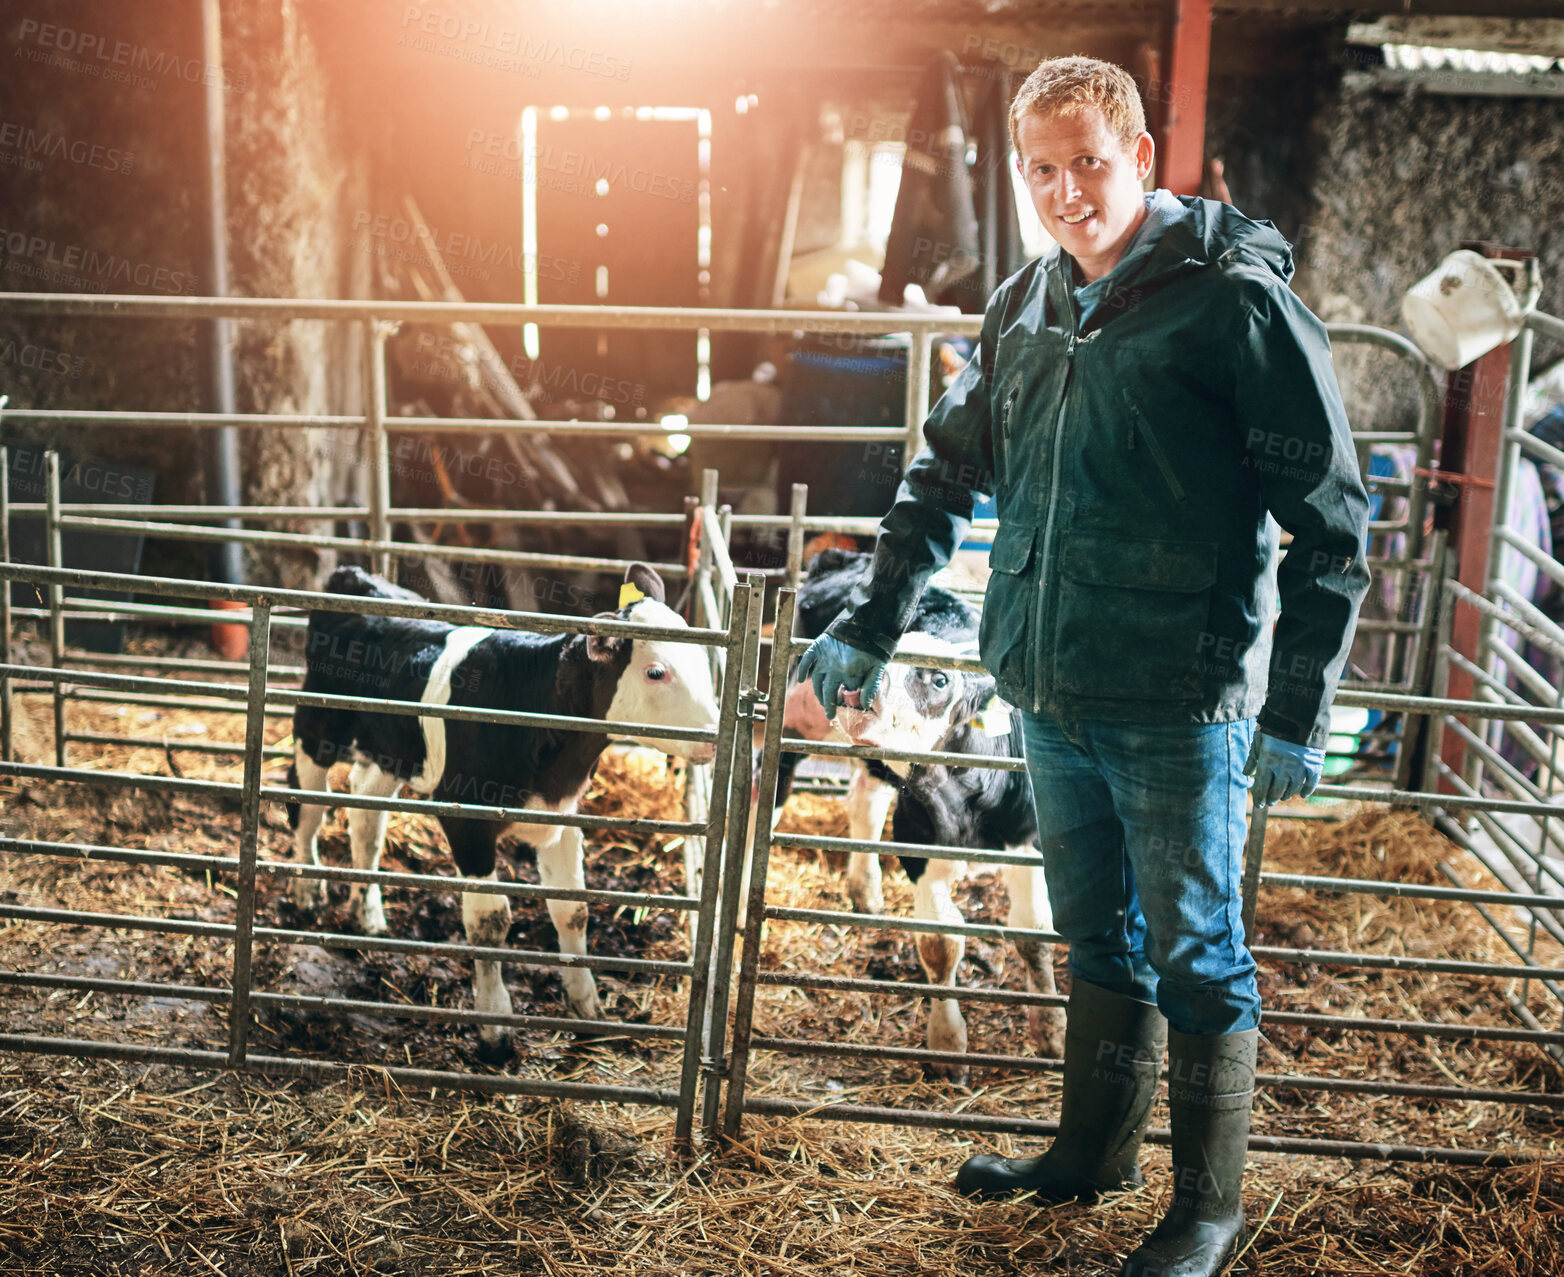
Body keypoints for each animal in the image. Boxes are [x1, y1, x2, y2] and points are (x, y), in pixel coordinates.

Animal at [287, 563, 716, 1051]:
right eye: (656, 672)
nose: (713, 735)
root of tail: (354, 576)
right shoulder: (466, 820)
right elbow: (489, 922)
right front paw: (494, 1024)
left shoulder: (562, 816)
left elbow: (574, 911)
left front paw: (586, 1004)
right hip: (317, 728)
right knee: (306, 810)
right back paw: (305, 891)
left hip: (390, 751)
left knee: (365, 816)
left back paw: (370, 914)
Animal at [778, 550, 1063, 1076]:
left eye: (938, 678)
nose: (855, 683)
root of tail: (843, 555)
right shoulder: (918, 840)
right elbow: (940, 944)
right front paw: (947, 1043)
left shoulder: (1029, 842)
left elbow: (1033, 935)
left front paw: (1050, 1031)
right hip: (793, 718)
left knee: (865, 799)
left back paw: (866, 891)